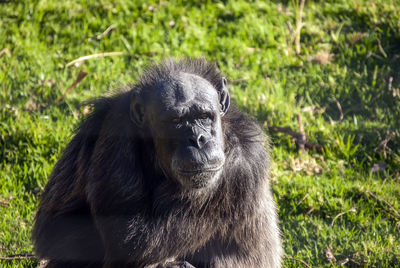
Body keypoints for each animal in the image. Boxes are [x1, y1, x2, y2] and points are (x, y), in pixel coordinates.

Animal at [32, 57, 282, 266]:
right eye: (176, 121)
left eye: (204, 116)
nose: (197, 139)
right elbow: (56, 227)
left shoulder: (238, 168)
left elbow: (133, 239)